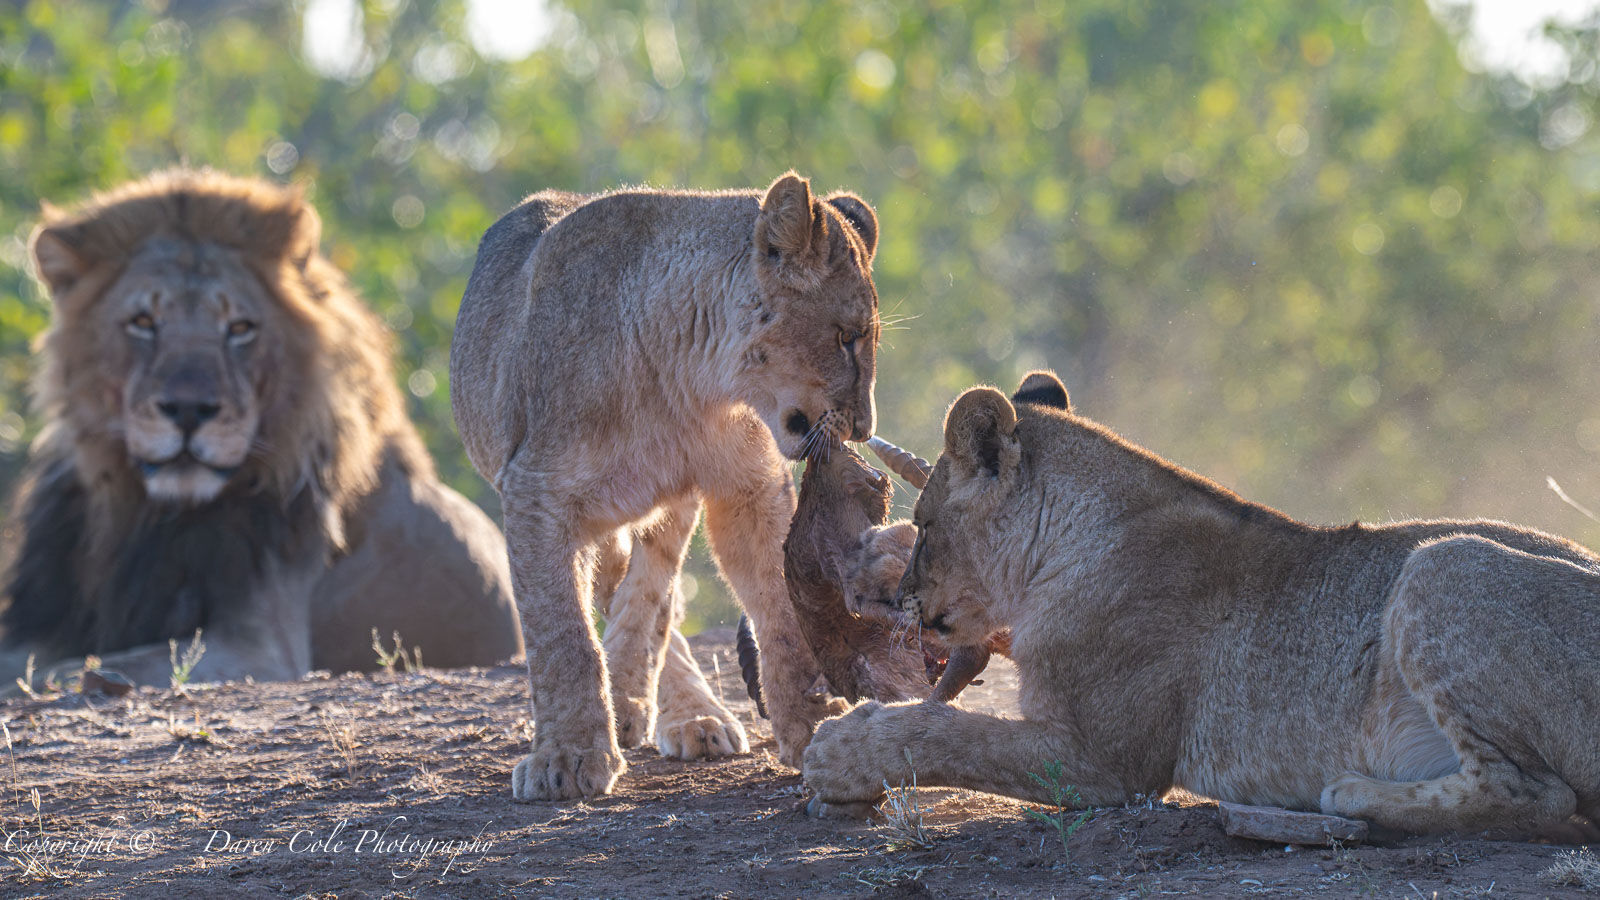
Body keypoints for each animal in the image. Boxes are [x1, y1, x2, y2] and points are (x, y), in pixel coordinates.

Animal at [0, 169, 522, 690]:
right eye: (143, 322)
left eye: (240, 328)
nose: (188, 411)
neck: (143, 511)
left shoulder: (262, 649)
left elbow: (82, 666)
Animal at [451, 172, 881, 800]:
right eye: (847, 337)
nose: (865, 428)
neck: (686, 383)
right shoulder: (533, 490)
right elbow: (562, 634)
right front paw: (566, 758)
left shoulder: (746, 486)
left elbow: (776, 610)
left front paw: (814, 724)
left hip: (661, 505)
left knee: (656, 590)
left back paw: (683, 713)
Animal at [803, 370, 1600, 835]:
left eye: (926, 525)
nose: (904, 597)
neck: (1059, 545)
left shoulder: (1106, 762)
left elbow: (949, 735)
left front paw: (838, 752)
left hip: (1442, 563)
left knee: (1541, 796)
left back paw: (1349, 795)